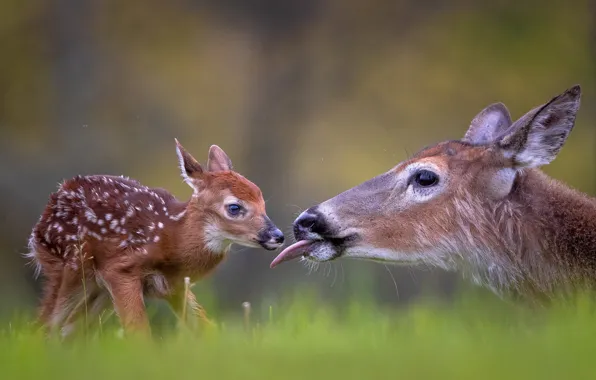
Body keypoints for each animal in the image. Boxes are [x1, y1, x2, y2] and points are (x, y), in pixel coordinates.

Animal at [25, 140, 282, 336]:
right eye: (234, 207)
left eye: (262, 201)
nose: (277, 236)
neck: (172, 239)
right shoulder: (120, 269)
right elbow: (139, 333)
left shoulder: (176, 285)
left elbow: (205, 327)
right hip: (71, 266)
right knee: (45, 325)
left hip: (97, 292)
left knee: (65, 330)